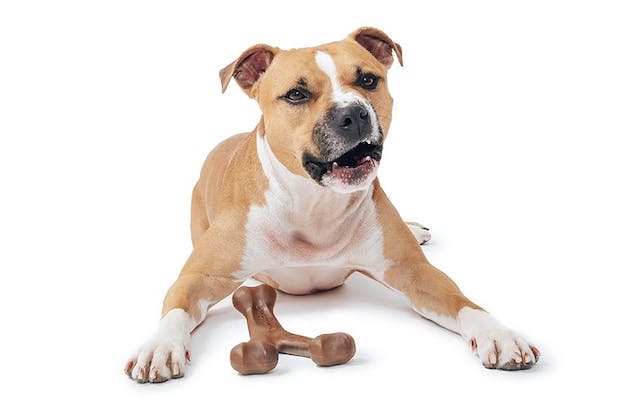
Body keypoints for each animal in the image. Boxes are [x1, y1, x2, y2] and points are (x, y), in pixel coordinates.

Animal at [125, 26, 540, 382]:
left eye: (368, 80)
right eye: (296, 94)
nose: (353, 113)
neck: (314, 203)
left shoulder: (414, 272)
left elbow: (463, 302)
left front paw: (499, 335)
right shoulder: (200, 277)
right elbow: (176, 309)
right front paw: (160, 347)